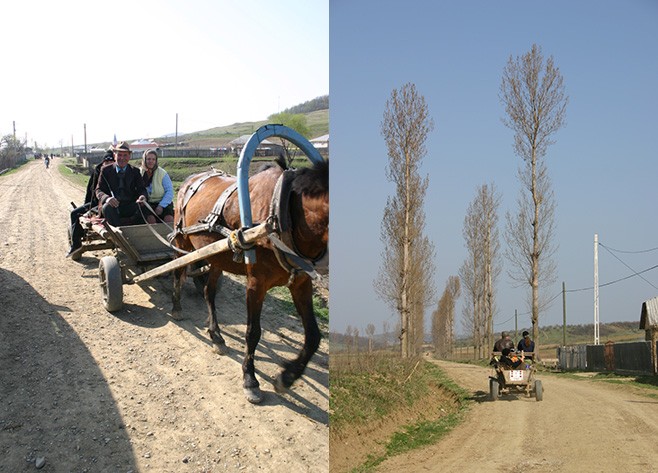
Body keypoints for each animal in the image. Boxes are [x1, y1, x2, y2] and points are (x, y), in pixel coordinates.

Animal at [170, 159, 328, 402]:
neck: (281, 213)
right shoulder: (256, 282)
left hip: (218, 256)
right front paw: (250, 379)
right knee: (178, 272)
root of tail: (191, 179)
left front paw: (287, 377)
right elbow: (253, 332)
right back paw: (177, 307)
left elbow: (313, 336)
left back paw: (216, 335)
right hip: (182, 241)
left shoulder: (301, 282)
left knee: (208, 291)